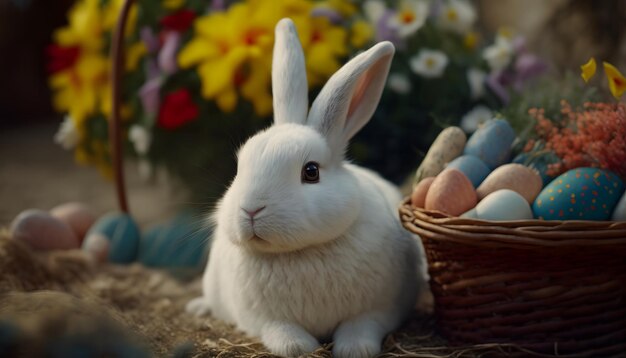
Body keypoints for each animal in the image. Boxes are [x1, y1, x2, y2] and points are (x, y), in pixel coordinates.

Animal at [185, 17, 426, 358]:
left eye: (310, 172)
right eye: (239, 168)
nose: (250, 209)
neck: (301, 251)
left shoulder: (381, 309)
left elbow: (362, 325)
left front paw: (355, 349)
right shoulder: (262, 318)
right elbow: (280, 331)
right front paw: (298, 346)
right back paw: (198, 307)